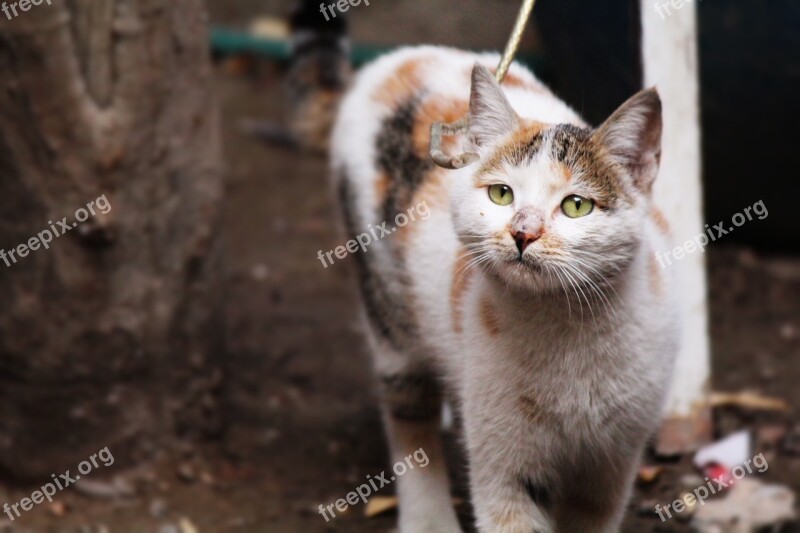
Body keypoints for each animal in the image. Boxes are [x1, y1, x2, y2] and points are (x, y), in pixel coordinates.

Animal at [328, 45, 680, 532]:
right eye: (501, 194)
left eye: (576, 205)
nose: (522, 232)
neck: (566, 325)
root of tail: (394, 61)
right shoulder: (504, 462)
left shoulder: (614, 460)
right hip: (387, 304)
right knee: (407, 413)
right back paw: (429, 517)